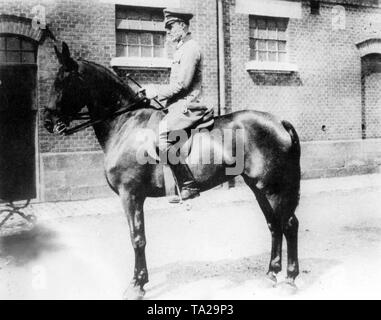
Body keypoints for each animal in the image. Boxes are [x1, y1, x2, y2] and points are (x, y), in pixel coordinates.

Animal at [43, 42, 300, 300]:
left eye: (63, 81)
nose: (47, 122)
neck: (127, 124)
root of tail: (280, 122)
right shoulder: (135, 197)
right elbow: (140, 237)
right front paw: (141, 281)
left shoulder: (130, 195)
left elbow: (137, 239)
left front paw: (136, 286)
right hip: (258, 188)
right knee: (274, 225)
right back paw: (271, 274)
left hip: (273, 188)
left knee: (288, 225)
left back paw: (289, 280)